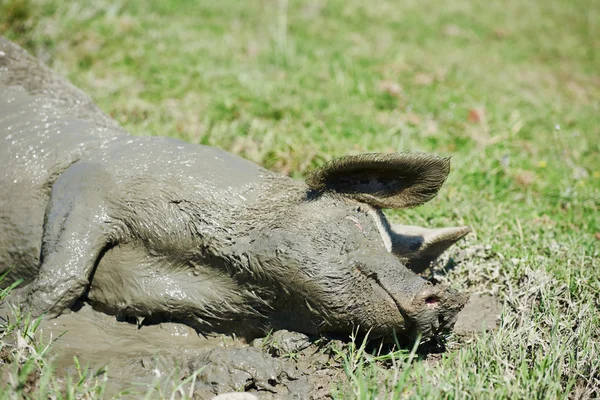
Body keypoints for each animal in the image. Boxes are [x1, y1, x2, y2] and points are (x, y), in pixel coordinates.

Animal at [0, 38, 468, 340]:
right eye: (356, 220)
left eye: (396, 251)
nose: (452, 298)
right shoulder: (90, 178)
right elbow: (64, 276)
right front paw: (15, 315)